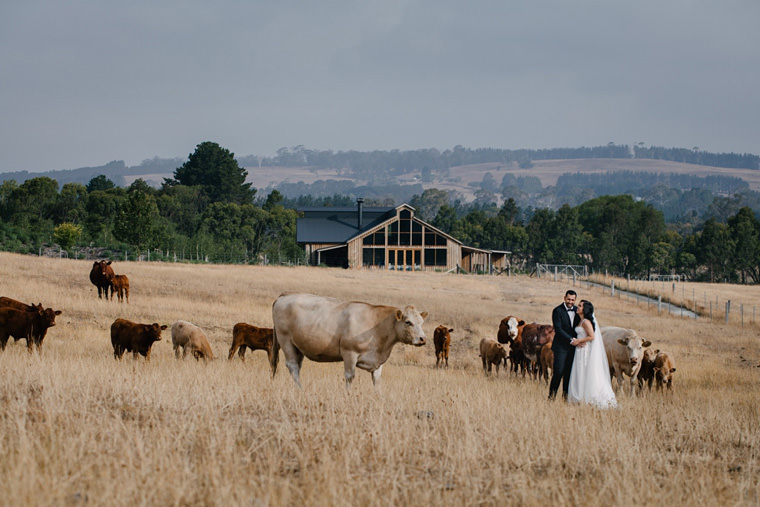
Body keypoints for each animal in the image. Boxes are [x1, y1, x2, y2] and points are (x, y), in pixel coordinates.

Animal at [272, 294, 428, 388]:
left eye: (421, 322)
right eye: (408, 322)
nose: (423, 339)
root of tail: (284, 296)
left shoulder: (378, 362)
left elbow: (377, 381)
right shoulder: (349, 353)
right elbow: (349, 377)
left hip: (298, 346)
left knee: (297, 367)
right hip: (285, 340)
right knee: (292, 366)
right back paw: (300, 388)